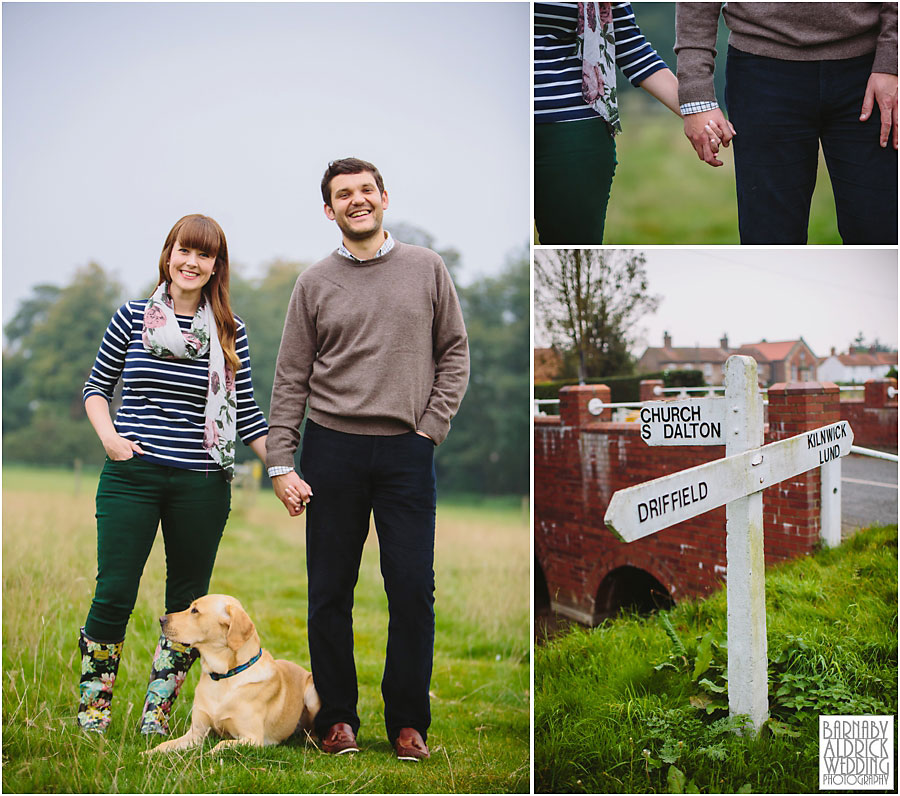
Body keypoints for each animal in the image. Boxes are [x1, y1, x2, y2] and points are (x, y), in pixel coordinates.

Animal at [145, 592, 320, 756]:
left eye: (195, 610)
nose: (161, 619)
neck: (223, 676)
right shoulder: (196, 733)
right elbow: (165, 745)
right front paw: (147, 753)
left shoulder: (252, 738)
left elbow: (221, 744)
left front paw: (207, 754)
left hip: (311, 695)